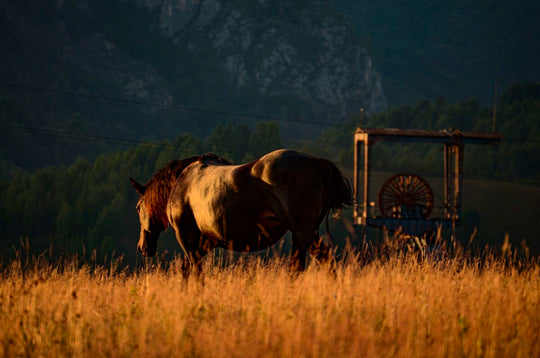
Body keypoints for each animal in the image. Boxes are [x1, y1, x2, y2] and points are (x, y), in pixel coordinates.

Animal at [129, 148, 352, 274]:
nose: (141, 247)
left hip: (303, 231)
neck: (183, 180)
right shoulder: (207, 242)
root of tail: (314, 161)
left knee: (326, 261)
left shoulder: (188, 238)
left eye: (138, 208)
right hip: (300, 235)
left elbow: (193, 271)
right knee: (296, 268)